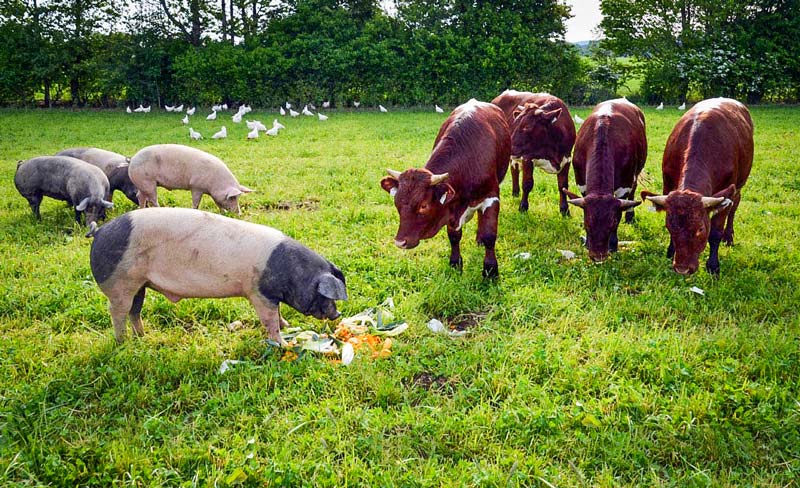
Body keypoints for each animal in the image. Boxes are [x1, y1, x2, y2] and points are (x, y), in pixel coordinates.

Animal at [87, 207, 346, 344]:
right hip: (120, 283)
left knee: (134, 310)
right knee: (118, 311)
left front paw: (288, 324)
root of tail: (99, 232)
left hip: (140, 284)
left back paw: (143, 337)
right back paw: (123, 342)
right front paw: (282, 343)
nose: (338, 314)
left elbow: (279, 314)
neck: (291, 272)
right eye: (325, 295)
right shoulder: (258, 293)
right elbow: (269, 320)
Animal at [380, 99, 506, 278]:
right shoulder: (450, 207)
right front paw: (455, 263)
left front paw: (490, 270)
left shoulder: (491, 196)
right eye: (396, 203)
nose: (400, 242)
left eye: (423, 205)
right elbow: (454, 236)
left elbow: (490, 235)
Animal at [560, 98, 648, 264]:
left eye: (612, 223)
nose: (597, 256)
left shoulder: (624, 185)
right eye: (587, 223)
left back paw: (630, 216)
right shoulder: (582, 184)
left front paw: (613, 244)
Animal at [640, 97, 752, 276]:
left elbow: (715, 232)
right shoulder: (668, 185)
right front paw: (670, 251)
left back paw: (729, 236)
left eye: (700, 229)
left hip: (740, 184)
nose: (682, 268)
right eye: (669, 227)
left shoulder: (727, 190)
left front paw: (713, 265)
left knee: (735, 206)